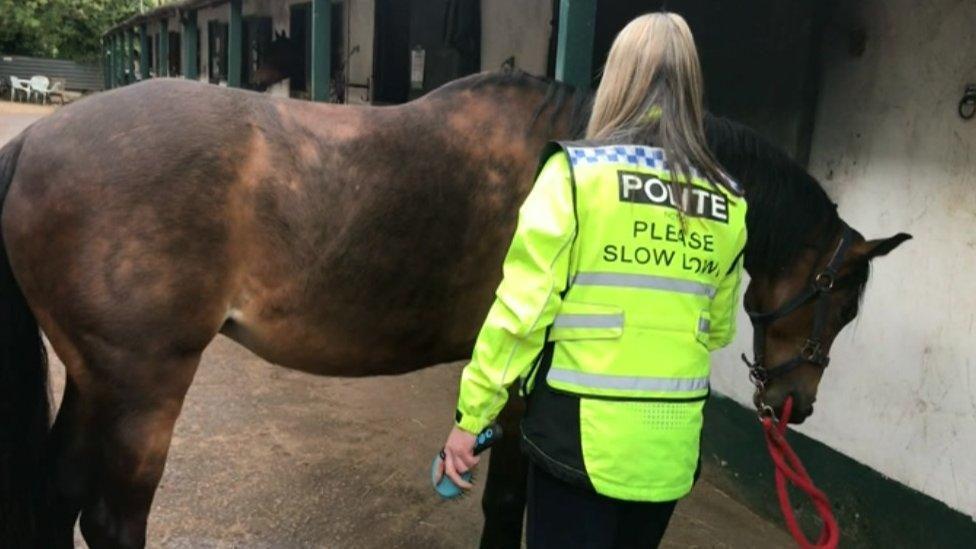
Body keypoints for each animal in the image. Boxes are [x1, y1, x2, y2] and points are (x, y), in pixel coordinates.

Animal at [0, 70, 912, 544]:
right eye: (842, 301)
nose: (796, 402)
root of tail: (36, 139)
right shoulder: (518, 387)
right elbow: (508, 501)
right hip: (143, 386)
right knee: (110, 516)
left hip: (96, 379)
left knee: (54, 494)